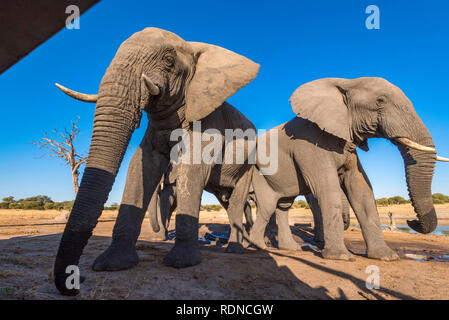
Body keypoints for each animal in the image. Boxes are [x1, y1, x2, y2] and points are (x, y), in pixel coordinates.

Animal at [52, 27, 260, 296]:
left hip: (250, 164)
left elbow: (192, 169)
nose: (78, 283)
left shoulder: (209, 117)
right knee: (228, 201)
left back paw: (234, 251)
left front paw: (181, 263)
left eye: (169, 61)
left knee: (236, 202)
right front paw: (112, 264)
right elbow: (141, 165)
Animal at [250, 77, 446, 260]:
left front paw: (386, 257)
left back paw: (289, 249)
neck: (347, 82)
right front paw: (340, 257)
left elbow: (361, 188)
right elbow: (327, 189)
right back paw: (259, 245)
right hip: (260, 176)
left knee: (283, 205)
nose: (411, 220)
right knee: (268, 206)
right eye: (380, 100)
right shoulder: (308, 146)